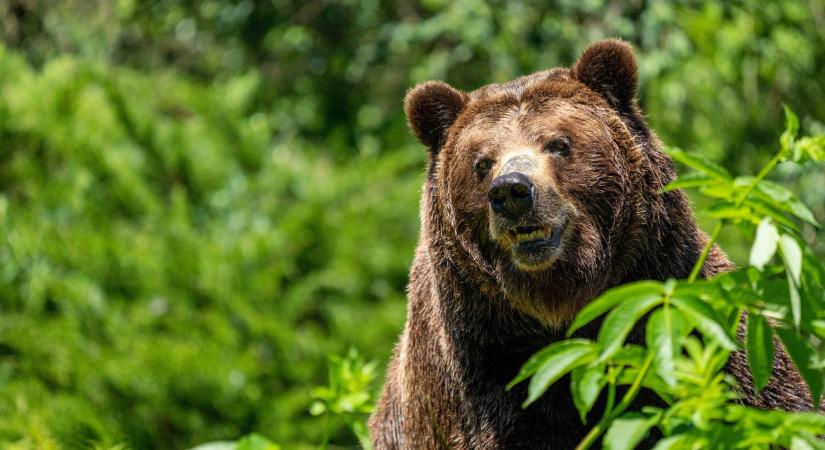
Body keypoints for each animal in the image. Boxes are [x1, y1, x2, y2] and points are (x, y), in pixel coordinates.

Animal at [370, 39, 816, 450]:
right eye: (482, 162)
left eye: (558, 144)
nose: (512, 191)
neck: (561, 305)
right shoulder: (481, 369)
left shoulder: (685, 299)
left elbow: (768, 399)